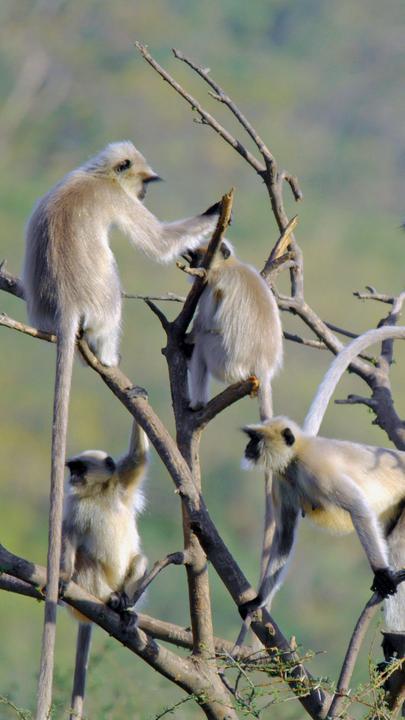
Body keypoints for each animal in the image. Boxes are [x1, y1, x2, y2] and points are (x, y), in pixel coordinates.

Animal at [61, 418, 148, 720]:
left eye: (79, 469)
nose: (71, 478)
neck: (98, 494)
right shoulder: (74, 505)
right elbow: (69, 538)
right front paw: (62, 577)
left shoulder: (121, 484)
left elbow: (138, 456)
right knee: (84, 559)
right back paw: (108, 601)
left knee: (140, 560)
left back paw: (124, 607)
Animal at [186, 239, 283, 420]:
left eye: (197, 256)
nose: (191, 264)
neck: (228, 265)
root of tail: (262, 361)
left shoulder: (211, 283)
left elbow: (208, 323)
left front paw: (187, 338)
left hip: (224, 361)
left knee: (202, 343)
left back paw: (198, 404)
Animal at [238, 325, 405, 620]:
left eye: (256, 440)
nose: (248, 448)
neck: (295, 459)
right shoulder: (282, 482)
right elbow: (285, 536)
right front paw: (257, 600)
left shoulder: (317, 470)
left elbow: (358, 508)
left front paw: (382, 574)